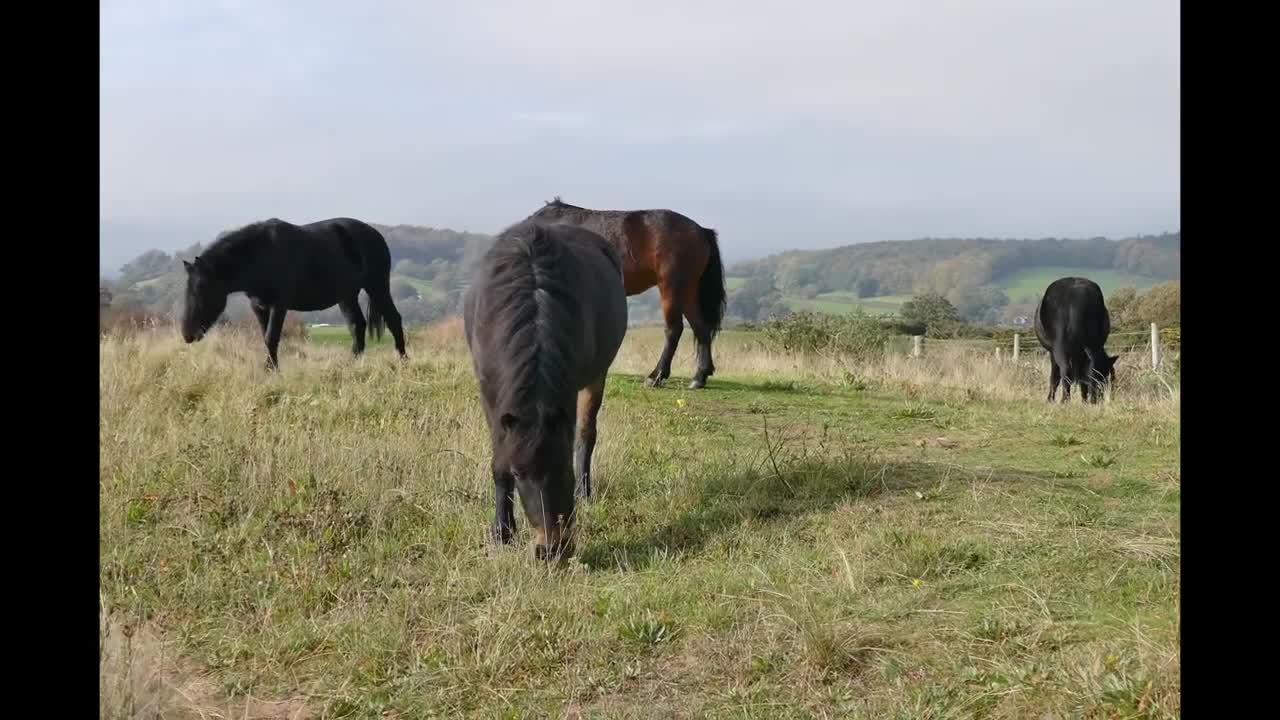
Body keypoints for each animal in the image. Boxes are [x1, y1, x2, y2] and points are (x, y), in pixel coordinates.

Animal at [180, 215, 407, 366]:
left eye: (204, 291)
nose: (187, 335)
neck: (261, 255)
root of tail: (376, 235)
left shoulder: (279, 305)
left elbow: (271, 337)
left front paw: (270, 369)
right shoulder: (259, 307)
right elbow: (266, 338)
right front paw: (272, 368)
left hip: (377, 286)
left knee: (394, 319)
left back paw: (403, 359)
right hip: (347, 295)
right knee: (357, 325)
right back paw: (351, 363)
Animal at [468, 217, 632, 556]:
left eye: (563, 468)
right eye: (519, 474)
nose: (551, 549)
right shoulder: (490, 398)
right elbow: (499, 462)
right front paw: (502, 532)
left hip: (596, 378)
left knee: (586, 435)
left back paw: (585, 492)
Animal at [524, 194, 727, 386]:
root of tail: (700, 231)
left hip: (672, 288)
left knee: (674, 330)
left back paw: (657, 376)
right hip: (688, 291)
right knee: (701, 328)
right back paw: (699, 376)